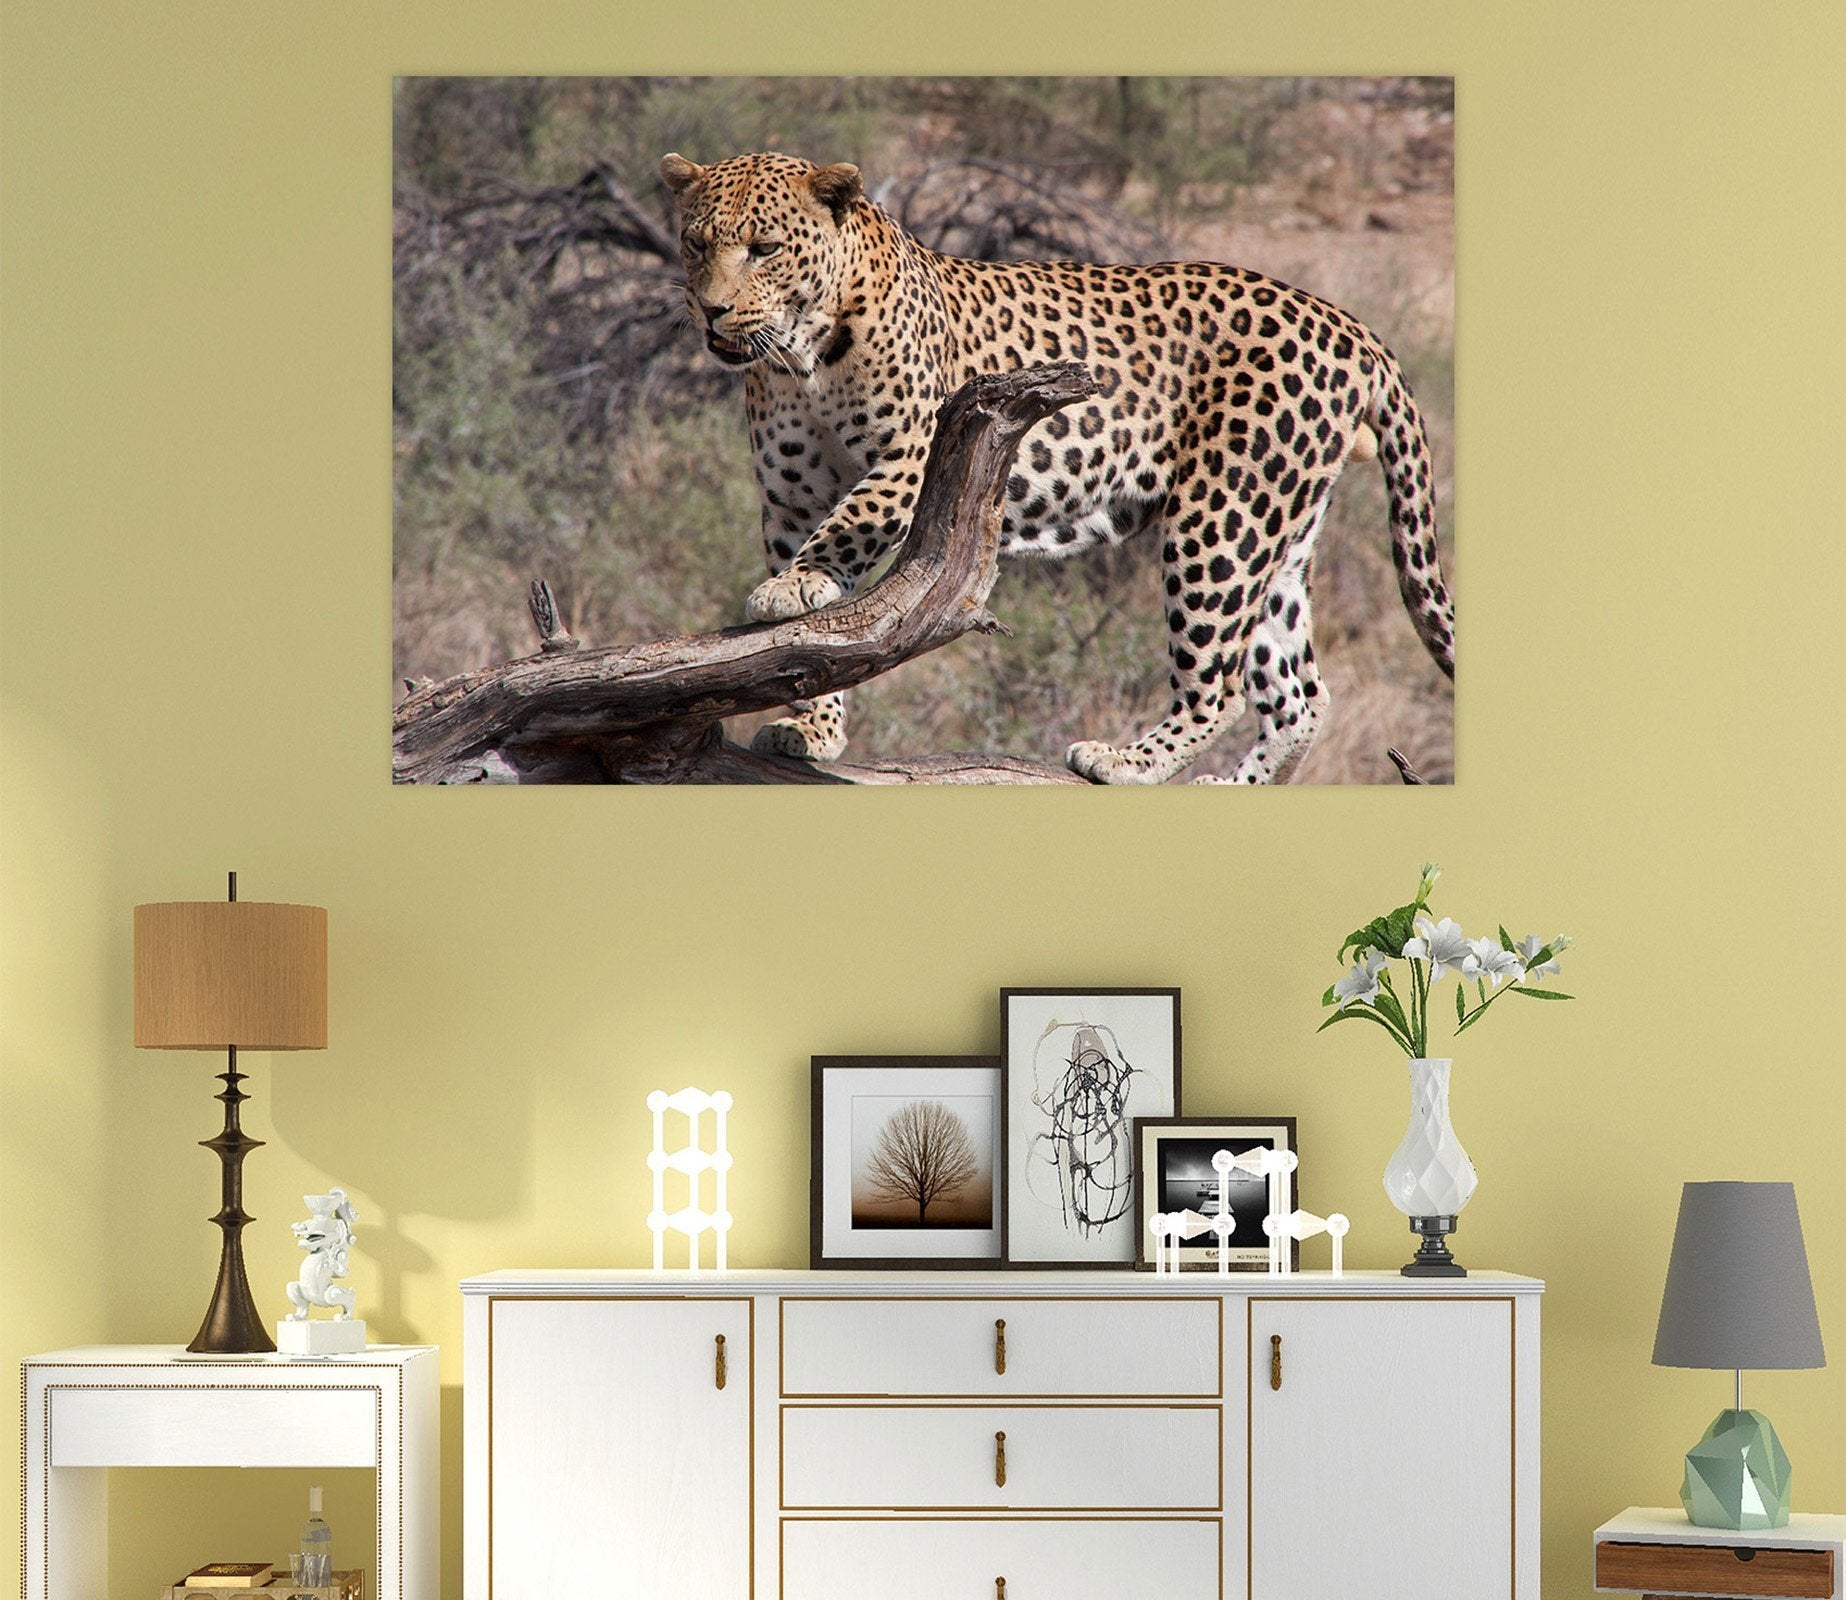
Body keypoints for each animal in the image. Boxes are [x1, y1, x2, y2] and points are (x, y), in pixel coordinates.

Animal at [660, 150, 1454, 784]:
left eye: (764, 248)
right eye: (695, 244)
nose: (712, 310)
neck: (801, 358)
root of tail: (1349, 324)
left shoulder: (914, 453)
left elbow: (851, 523)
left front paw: (792, 586)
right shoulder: (790, 498)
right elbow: (818, 639)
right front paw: (813, 726)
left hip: (1224, 519)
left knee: (1222, 684)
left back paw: (1126, 761)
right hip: (1280, 532)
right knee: (1300, 695)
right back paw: (1230, 786)